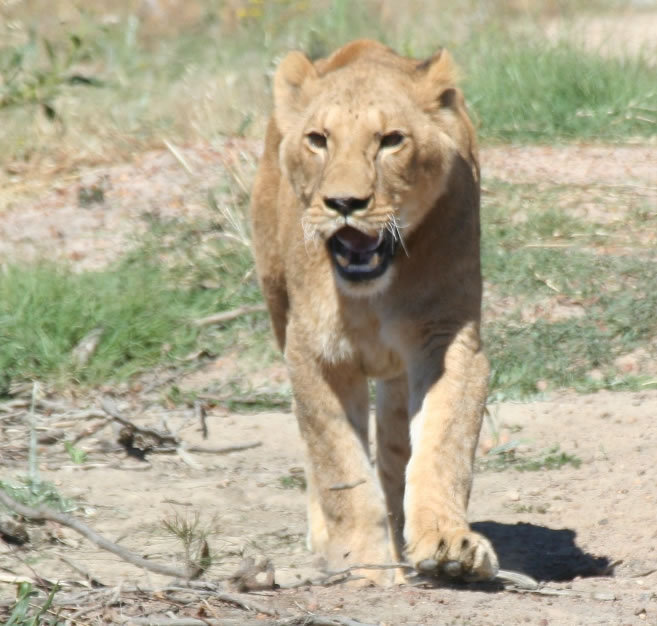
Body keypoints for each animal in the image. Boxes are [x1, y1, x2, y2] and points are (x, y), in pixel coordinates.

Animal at [250, 40, 498, 584]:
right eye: (318, 140)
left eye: (391, 140)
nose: (344, 202)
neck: (370, 294)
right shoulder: (311, 351)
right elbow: (338, 466)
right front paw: (360, 562)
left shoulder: (448, 340)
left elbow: (442, 445)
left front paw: (449, 545)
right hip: (275, 297)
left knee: (393, 450)